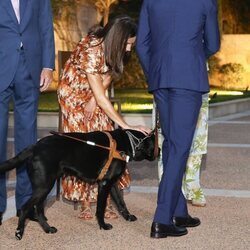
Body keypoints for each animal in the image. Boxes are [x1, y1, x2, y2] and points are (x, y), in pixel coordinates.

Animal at [0, 129, 156, 240]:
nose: (159, 152)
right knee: (25, 208)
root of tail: (34, 146)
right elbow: (100, 208)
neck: (126, 143)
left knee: (38, 210)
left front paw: (128, 217)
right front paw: (103, 226)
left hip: (44, 186)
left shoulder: (112, 183)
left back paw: (48, 229)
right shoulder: (104, 183)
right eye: (155, 145)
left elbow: (121, 202)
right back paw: (19, 232)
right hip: (44, 186)